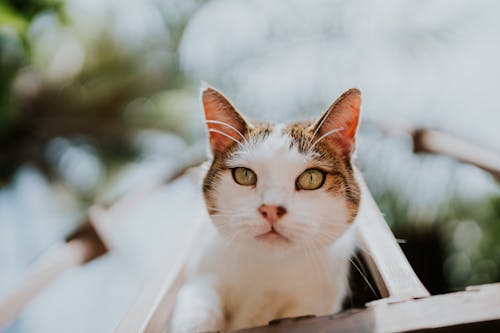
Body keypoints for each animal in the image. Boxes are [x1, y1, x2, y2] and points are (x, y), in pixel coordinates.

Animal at [170, 87, 362, 330]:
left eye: (311, 178)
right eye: (244, 175)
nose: (271, 209)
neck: (271, 268)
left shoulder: (314, 300)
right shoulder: (203, 275)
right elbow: (197, 309)